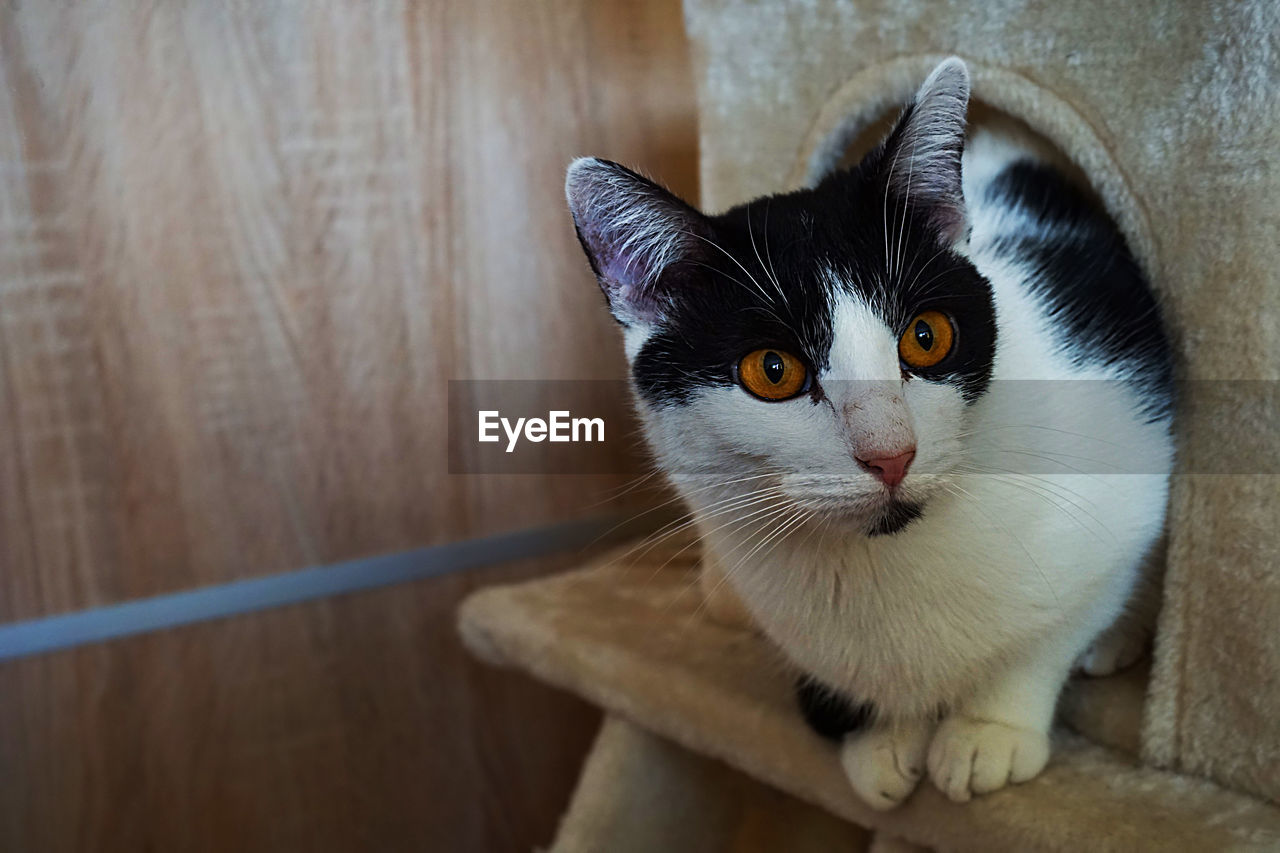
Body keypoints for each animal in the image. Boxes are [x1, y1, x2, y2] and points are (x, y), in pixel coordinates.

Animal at [560, 56, 1172, 809]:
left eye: (927, 336)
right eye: (772, 370)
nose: (892, 454)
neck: (878, 562)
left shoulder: (1128, 464)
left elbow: (1052, 630)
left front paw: (987, 729)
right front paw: (883, 736)